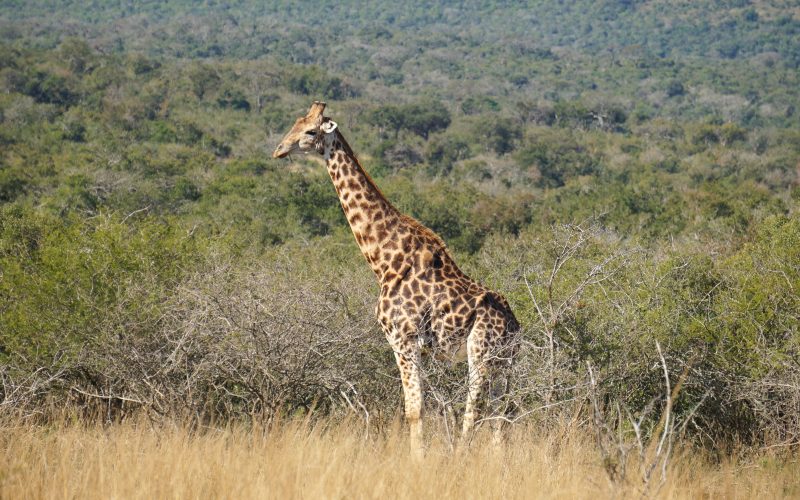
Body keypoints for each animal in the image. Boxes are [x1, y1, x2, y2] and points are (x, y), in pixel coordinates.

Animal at [272, 101, 520, 454]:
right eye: (295, 122)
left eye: (309, 130)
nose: (279, 150)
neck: (382, 259)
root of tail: (516, 327)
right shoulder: (411, 346)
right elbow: (425, 407)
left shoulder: (403, 340)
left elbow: (414, 410)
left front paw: (419, 461)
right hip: (504, 362)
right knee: (502, 414)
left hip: (481, 353)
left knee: (476, 409)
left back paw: (461, 456)